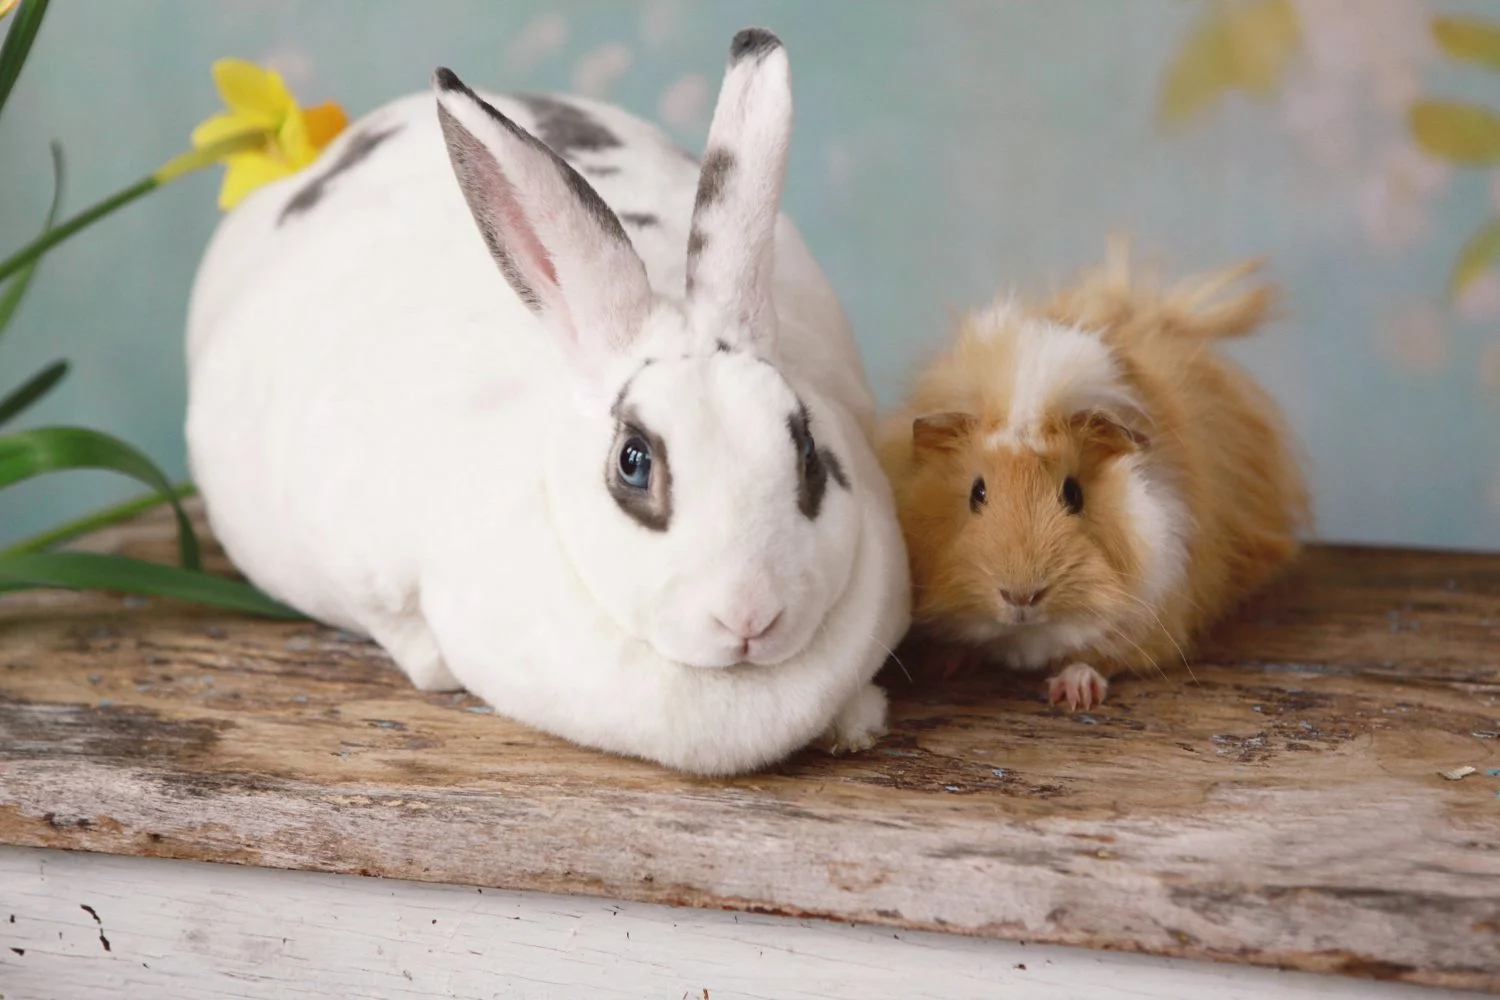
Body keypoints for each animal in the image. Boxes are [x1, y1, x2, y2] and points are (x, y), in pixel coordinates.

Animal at [876, 239, 1310, 711]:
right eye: (977, 493)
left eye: (1074, 493)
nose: (1022, 597)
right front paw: (945, 664)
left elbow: (1096, 658)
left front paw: (1073, 694)